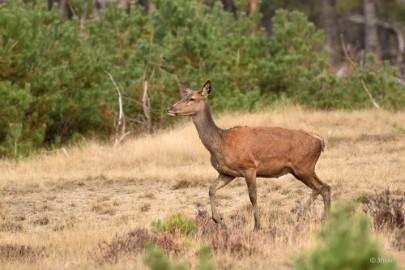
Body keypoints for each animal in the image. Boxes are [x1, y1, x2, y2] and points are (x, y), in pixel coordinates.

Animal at [166, 80, 330, 230]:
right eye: (183, 96)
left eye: (192, 98)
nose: (169, 108)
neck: (220, 143)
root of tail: (320, 140)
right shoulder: (227, 173)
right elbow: (211, 189)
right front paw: (218, 220)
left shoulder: (249, 166)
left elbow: (253, 196)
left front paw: (257, 226)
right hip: (299, 170)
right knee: (323, 187)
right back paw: (317, 218)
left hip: (304, 166)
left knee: (323, 187)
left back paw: (307, 215)